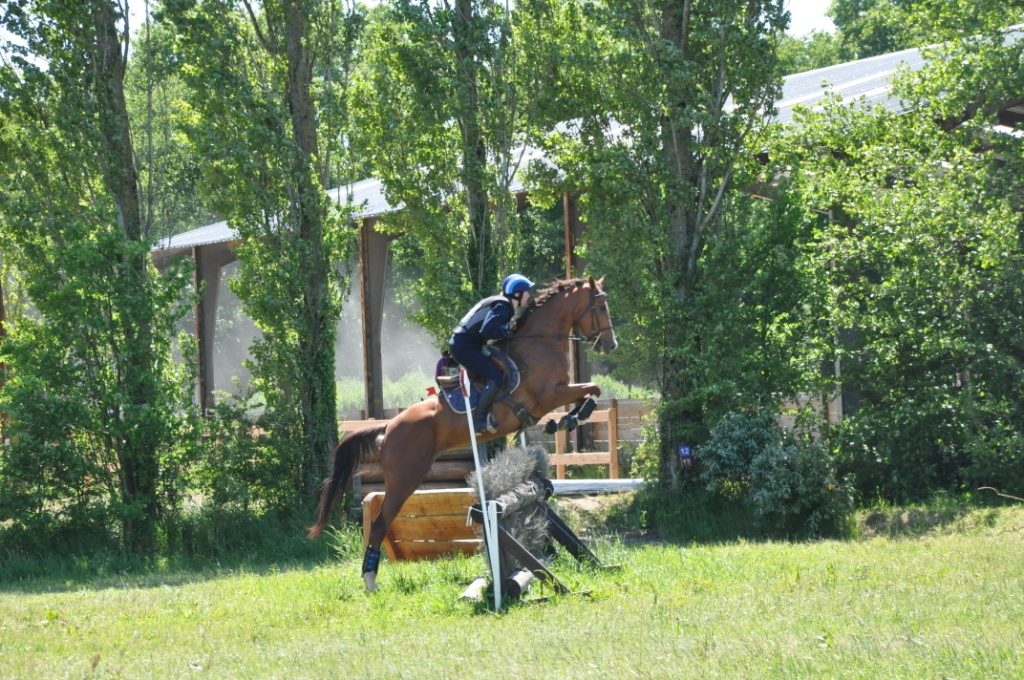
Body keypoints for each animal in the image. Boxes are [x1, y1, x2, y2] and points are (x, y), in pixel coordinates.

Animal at [307, 274, 618, 589]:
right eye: (601, 306)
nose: (611, 344)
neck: (541, 343)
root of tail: (390, 425)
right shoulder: (549, 395)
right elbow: (592, 389)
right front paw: (570, 418)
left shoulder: (557, 394)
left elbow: (589, 391)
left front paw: (566, 420)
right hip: (405, 477)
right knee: (381, 521)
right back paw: (370, 580)